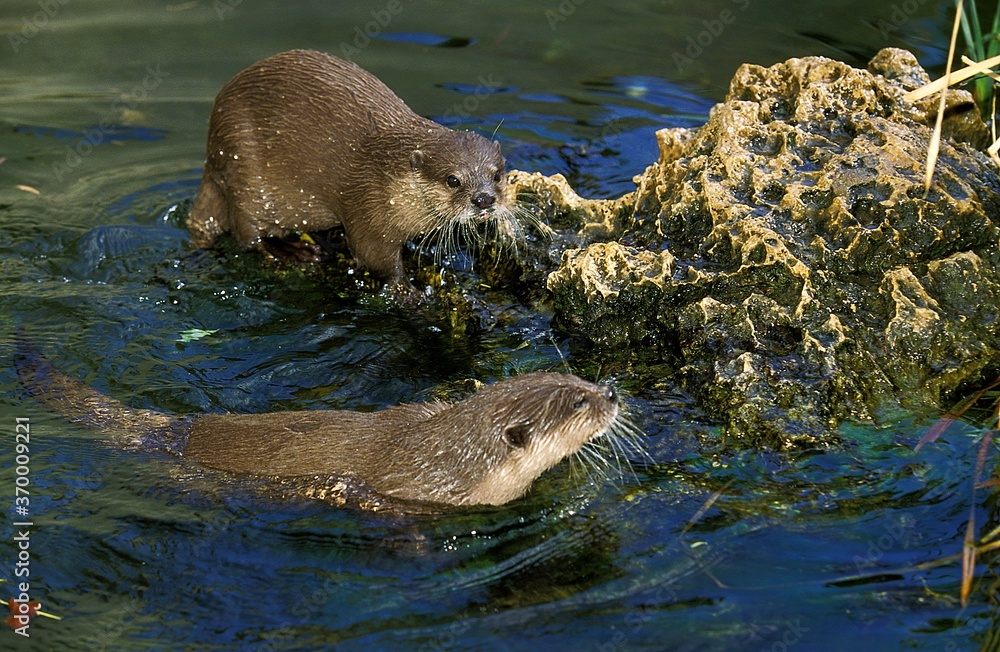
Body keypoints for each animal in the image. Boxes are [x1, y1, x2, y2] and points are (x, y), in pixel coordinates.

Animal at [187, 49, 515, 290]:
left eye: (497, 175)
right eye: (453, 180)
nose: (484, 199)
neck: (390, 182)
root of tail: (211, 154)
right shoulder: (367, 206)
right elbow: (375, 257)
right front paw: (408, 290)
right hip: (243, 166)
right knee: (247, 234)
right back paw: (290, 250)